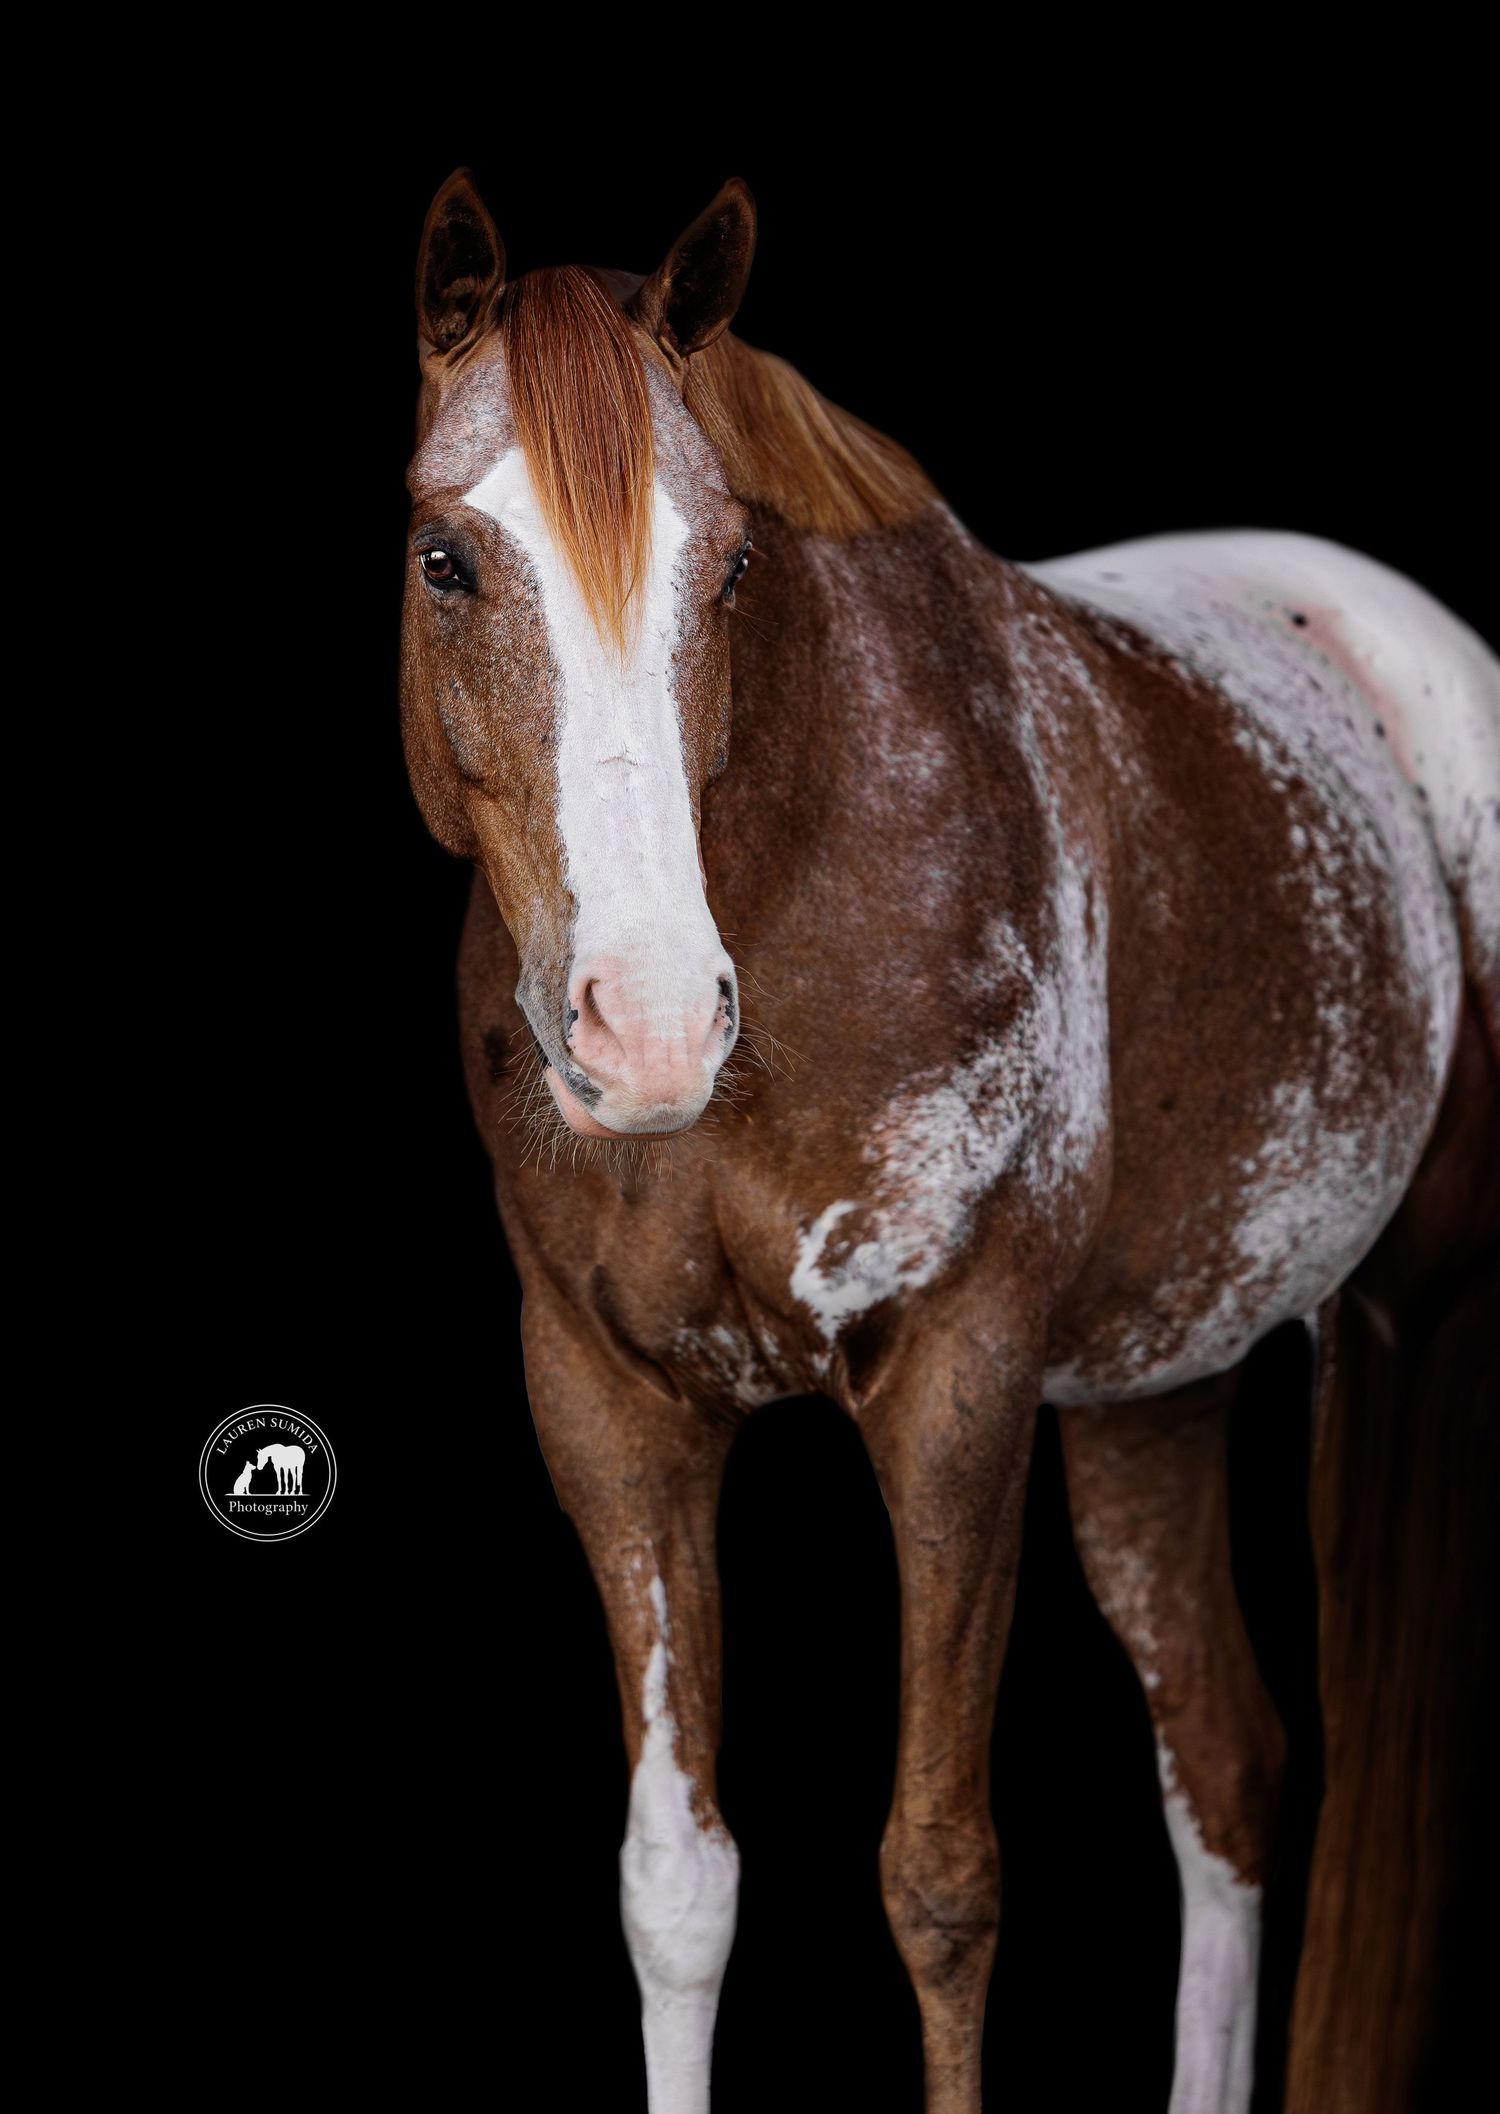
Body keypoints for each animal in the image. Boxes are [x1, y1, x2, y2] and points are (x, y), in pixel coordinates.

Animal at [397, 170, 1499, 2114]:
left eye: (733, 566)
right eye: (448, 561)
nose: (652, 1021)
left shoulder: (957, 1387)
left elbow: (940, 1875)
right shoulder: (607, 1409)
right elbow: (676, 1885)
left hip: (1411, 1319)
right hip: (1155, 1386)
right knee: (1229, 1757)